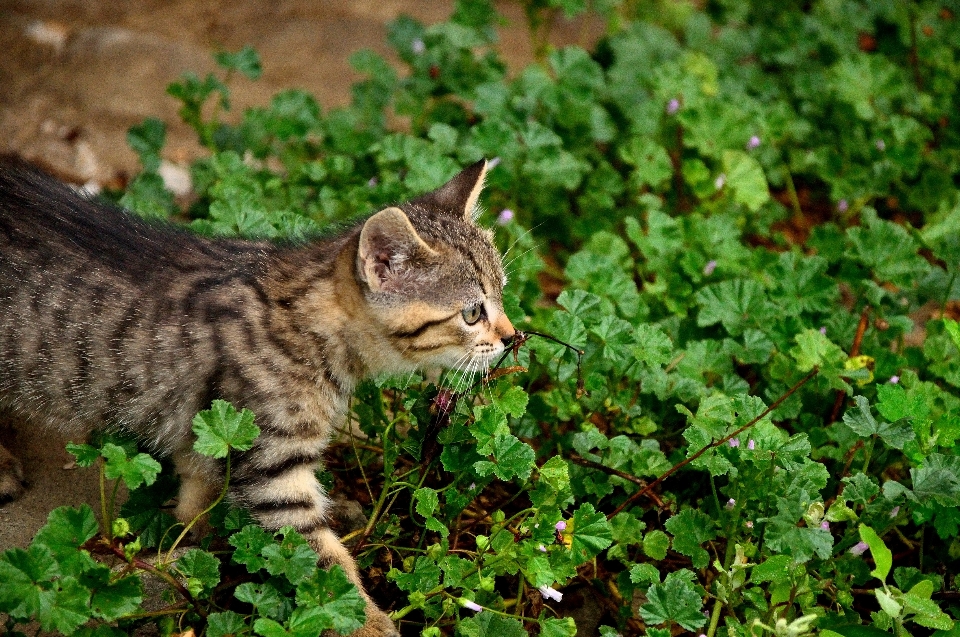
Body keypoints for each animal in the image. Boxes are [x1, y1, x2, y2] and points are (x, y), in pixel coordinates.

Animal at [0, 158, 516, 636]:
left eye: (504, 295)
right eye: (473, 313)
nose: (513, 337)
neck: (312, 327)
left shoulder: (215, 431)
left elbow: (198, 487)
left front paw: (188, 540)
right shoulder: (275, 468)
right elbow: (321, 560)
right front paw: (364, 619)